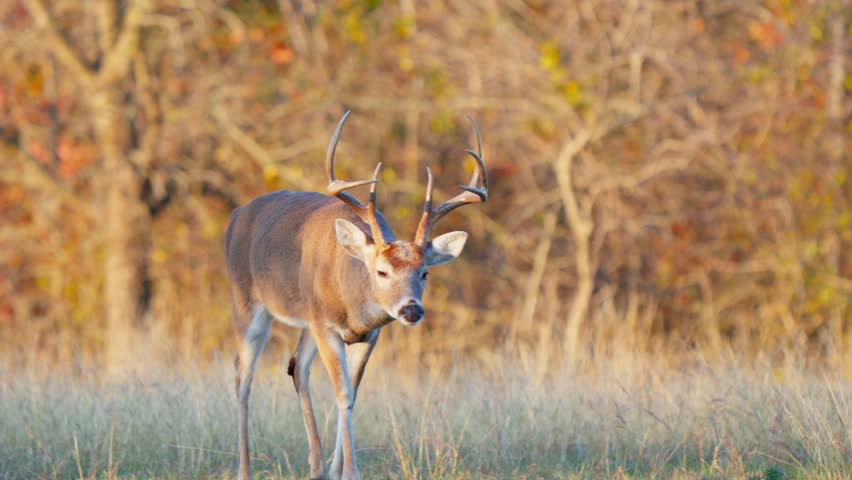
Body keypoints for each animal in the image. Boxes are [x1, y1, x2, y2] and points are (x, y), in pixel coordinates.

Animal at [224, 111, 488, 480]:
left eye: (425, 273)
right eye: (382, 271)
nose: (411, 310)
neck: (351, 300)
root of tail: (236, 216)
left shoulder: (367, 335)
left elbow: (353, 393)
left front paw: (338, 470)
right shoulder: (326, 326)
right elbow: (341, 391)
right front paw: (351, 471)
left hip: (305, 321)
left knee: (297, 367)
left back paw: (317, 466)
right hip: (247, 301)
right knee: (242, 378)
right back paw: (244, 469)